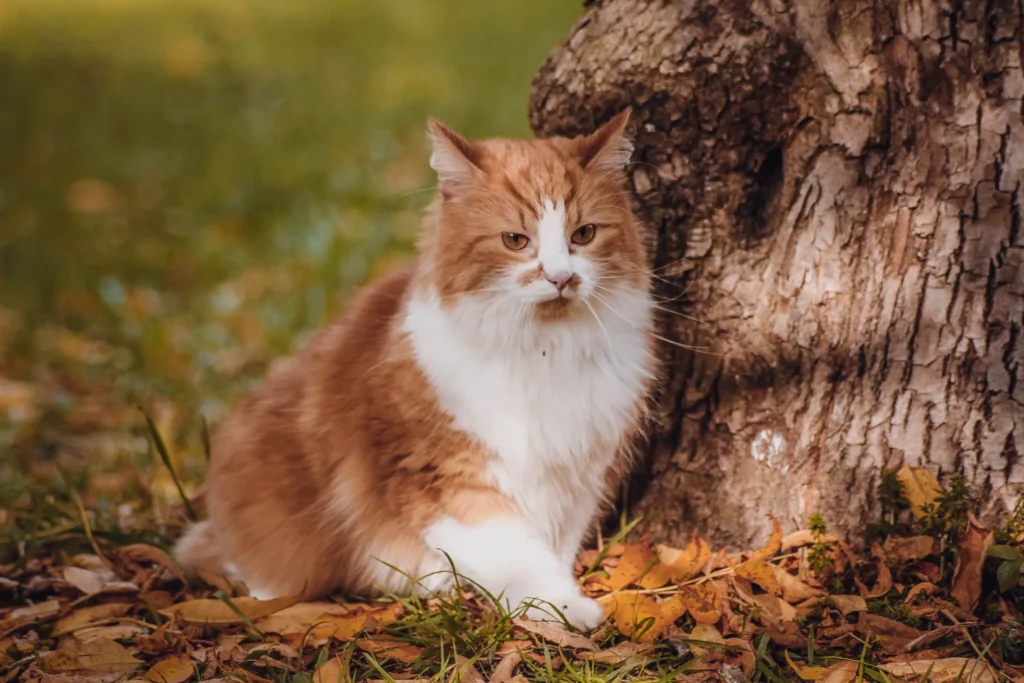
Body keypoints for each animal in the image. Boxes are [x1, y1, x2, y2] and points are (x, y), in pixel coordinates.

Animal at [174, 109, 655, 634]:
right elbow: (518, 557)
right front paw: (563, 609)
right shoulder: (445, 476)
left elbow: (554, 547)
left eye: (583, 234)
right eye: (515, 241)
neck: (545, 353)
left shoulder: (581, 472)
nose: (561, 277)